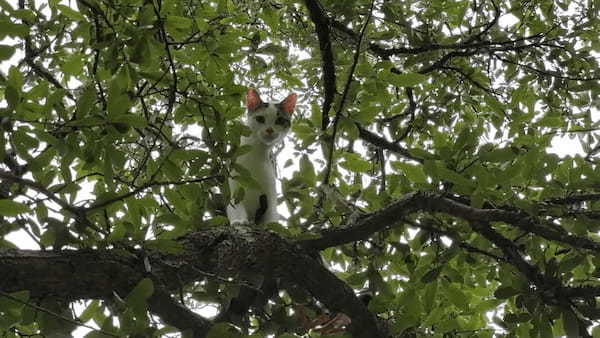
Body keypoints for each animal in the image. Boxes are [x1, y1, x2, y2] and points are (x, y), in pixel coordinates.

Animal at [227, 87, 298, 226]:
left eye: (279, 120)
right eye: (260, 119)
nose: (269, 130)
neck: (256, 151)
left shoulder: (269, 195)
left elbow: (270, 217)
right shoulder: (235, 187)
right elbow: (236, 207)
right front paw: (239, 221)